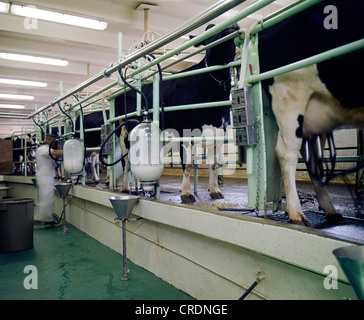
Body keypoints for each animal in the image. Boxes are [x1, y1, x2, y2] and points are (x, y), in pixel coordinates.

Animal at [114, 23, 239, 202]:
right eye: (209, 30)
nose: (231, 26)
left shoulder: (219, 132)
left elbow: (213, 164)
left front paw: (215, 190)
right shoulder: (184, 132)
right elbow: (187, 164)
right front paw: (186, 193)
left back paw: (142, 187)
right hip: (123, 133)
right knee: (126, 162)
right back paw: (125, 187)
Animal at [258, 0, 364, 226]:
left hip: (317, 118)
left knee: (313, 161)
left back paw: (330, 210)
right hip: (290, 100)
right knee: (286, 153)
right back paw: (296, 213)